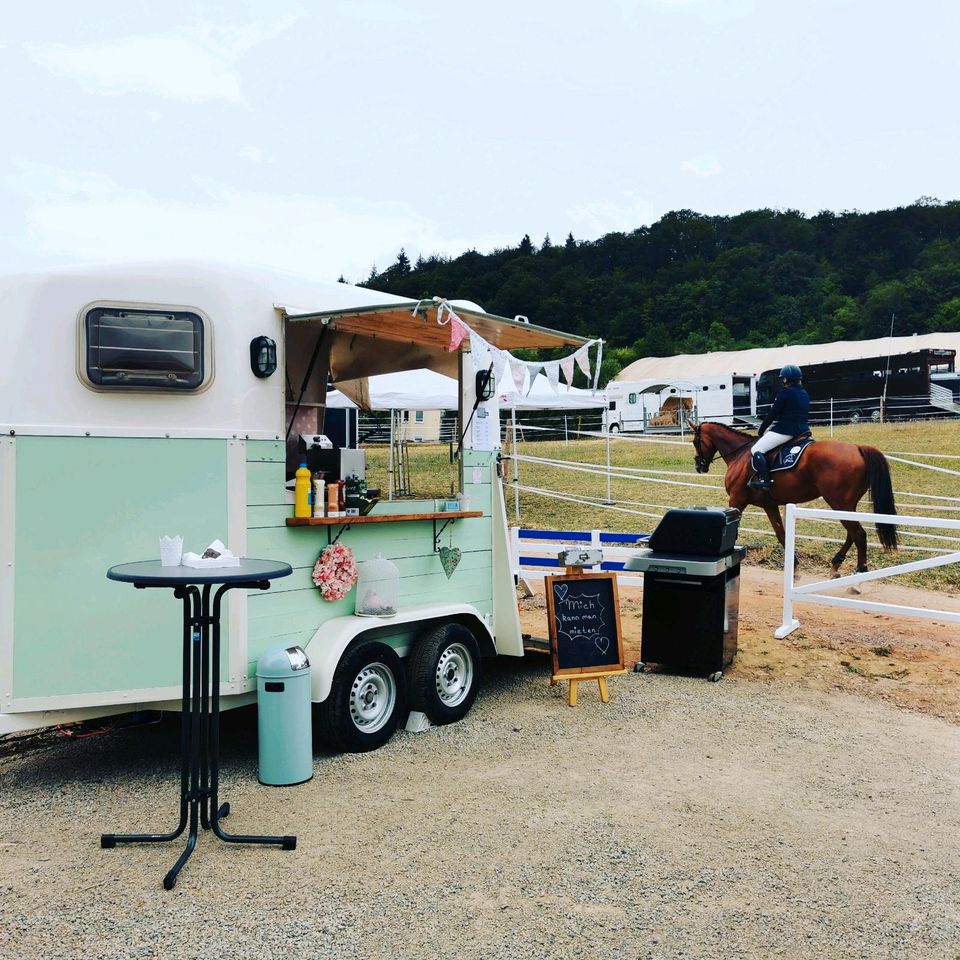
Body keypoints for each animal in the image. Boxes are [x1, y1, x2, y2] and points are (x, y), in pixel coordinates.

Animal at [688, 420, 900, 568]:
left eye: (695, 441)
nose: (700, 466)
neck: (740, 455)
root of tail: (857, 448)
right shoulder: (770, 505)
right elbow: (781, 534)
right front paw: (794, 563)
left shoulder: (736, 499)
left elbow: (736, 530)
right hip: (846, 505)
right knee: (853, 534)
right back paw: (837, 561)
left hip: (840, 503)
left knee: (859, 534)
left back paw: (859, 571)